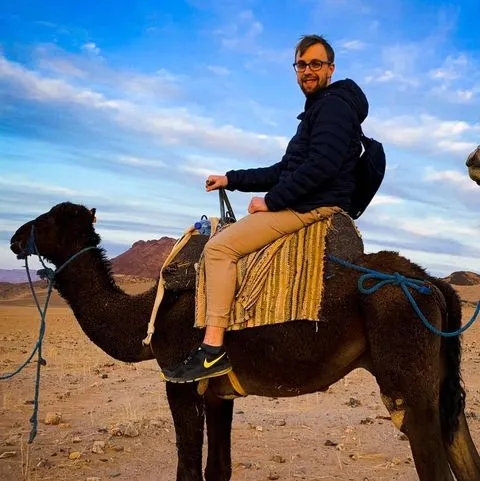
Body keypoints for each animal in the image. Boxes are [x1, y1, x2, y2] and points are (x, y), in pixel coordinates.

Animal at [9, 202, 480, 480]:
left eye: (48, 219)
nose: (14, 237)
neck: (147, 314)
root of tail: (433, 283)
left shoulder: (179, 380)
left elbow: (188, 470)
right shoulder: (219, 393)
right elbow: (219, 468)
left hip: (405, 375)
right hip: (439, 380)